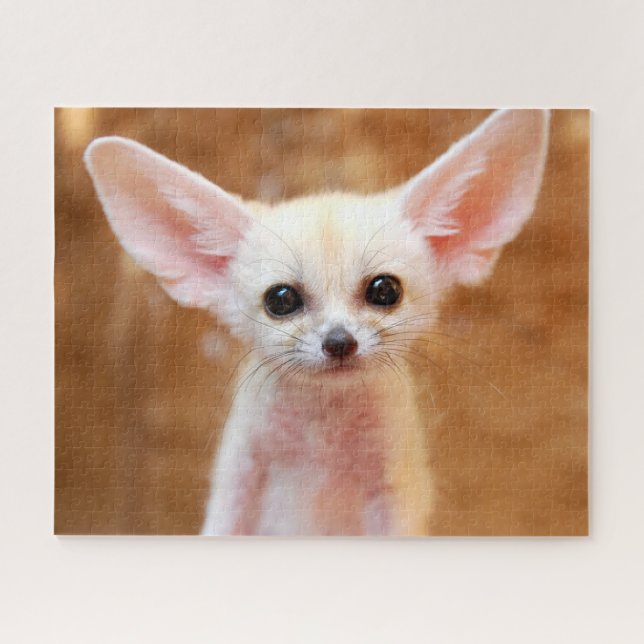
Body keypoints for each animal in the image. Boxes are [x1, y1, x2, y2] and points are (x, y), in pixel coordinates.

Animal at [84, 109, 550, 536]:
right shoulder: (236, 480)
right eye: (281, 300)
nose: (339, 342)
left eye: (385, 290)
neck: (322, 439)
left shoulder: (395, 494)